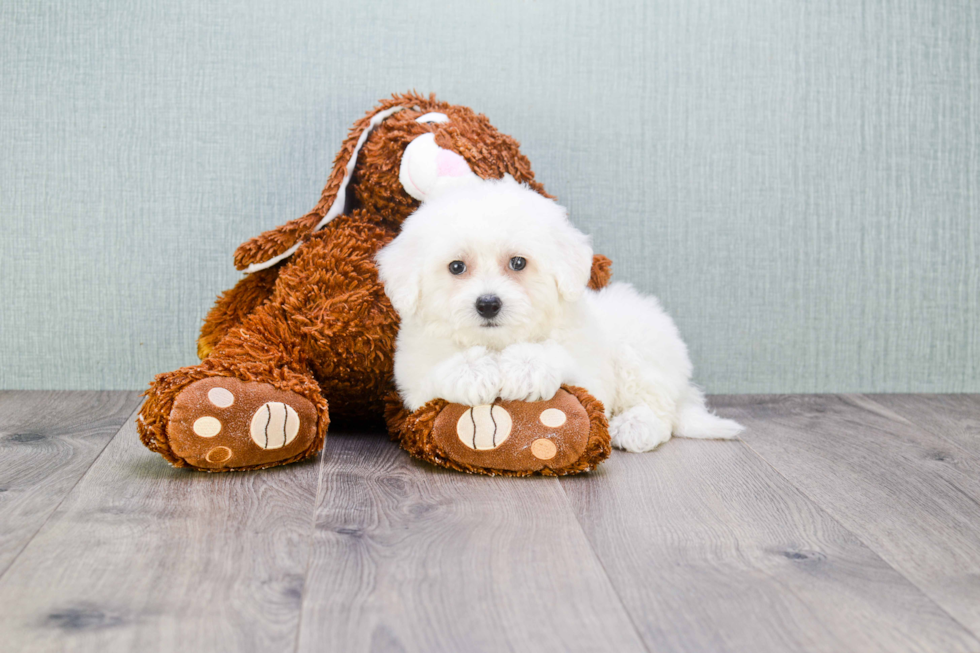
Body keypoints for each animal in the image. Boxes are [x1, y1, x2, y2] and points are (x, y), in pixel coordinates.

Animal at [378, 178, 744, 454]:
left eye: (518, 263)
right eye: (456, 267)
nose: (488, 304)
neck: (498, 344)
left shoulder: (590, 370)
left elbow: (561, 359)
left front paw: (526, 368)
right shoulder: (412, 377)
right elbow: (434, 373)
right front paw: (473, 372)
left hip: (641, 352)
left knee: (659, 408)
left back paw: (636, 426)